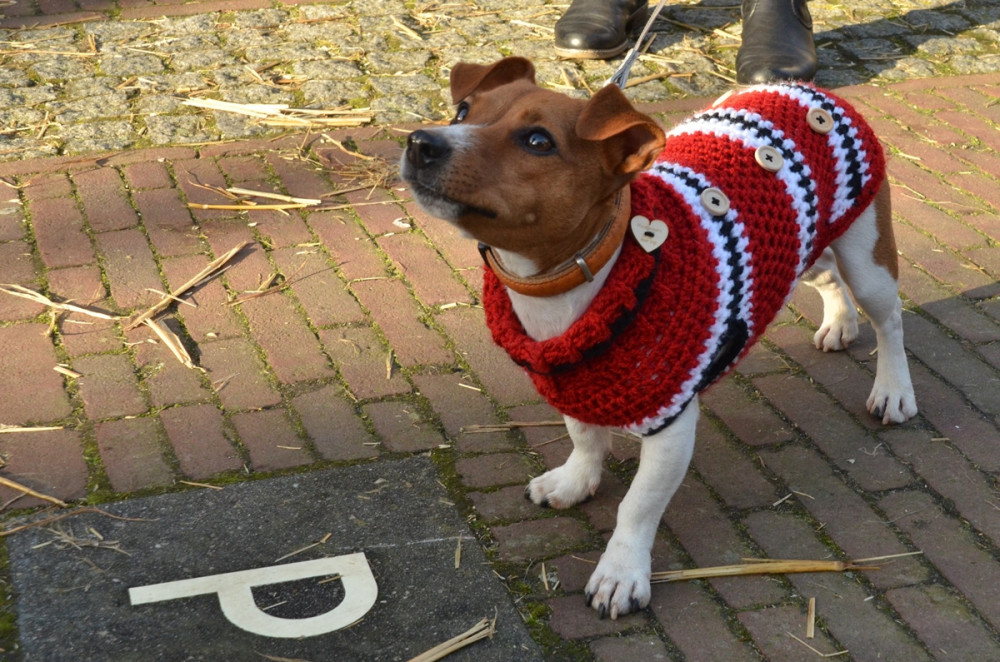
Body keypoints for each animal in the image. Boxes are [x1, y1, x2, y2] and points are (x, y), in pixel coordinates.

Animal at [398, 58, 916, 624]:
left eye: (537, 141)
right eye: (463, 111)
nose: (422, 142)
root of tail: (805, 88)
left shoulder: (671, 424)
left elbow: (638, 504)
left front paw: (621, 573)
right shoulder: (573, 383)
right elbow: (584, 439)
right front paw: (574, 481)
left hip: (868, 256)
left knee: (889, 320)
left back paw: (894, 390)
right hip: (803, 249)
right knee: (829, 278)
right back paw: (840, 323)